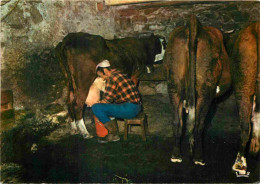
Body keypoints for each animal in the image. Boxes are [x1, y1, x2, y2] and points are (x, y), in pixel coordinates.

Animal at [165, 15, 232, 165]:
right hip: (206, 89)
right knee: (198, 125)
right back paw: (199, 157)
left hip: (174, 82)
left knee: (177, 121)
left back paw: (176, 155)